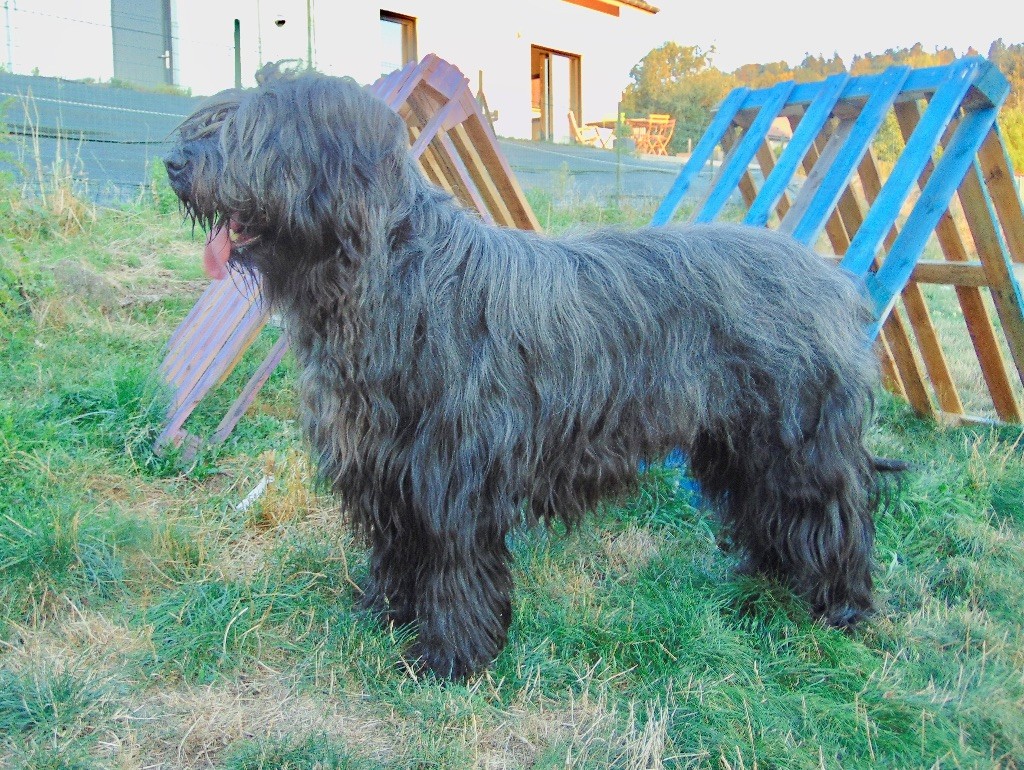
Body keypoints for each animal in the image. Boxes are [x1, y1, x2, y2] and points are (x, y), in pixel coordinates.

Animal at [165, 63, 889, 680]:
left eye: (253, 127)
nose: (172, 163)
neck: (390, 273)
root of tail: (829, 276)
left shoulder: (452, 473)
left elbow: (453, 563)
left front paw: (450, 657)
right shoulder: (385, 466)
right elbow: (397, 547)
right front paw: (388, 613)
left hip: (797, 442)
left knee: (832, 513)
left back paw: (840, 605)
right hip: (739, 444)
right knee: (770, 513)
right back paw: (766, 583)